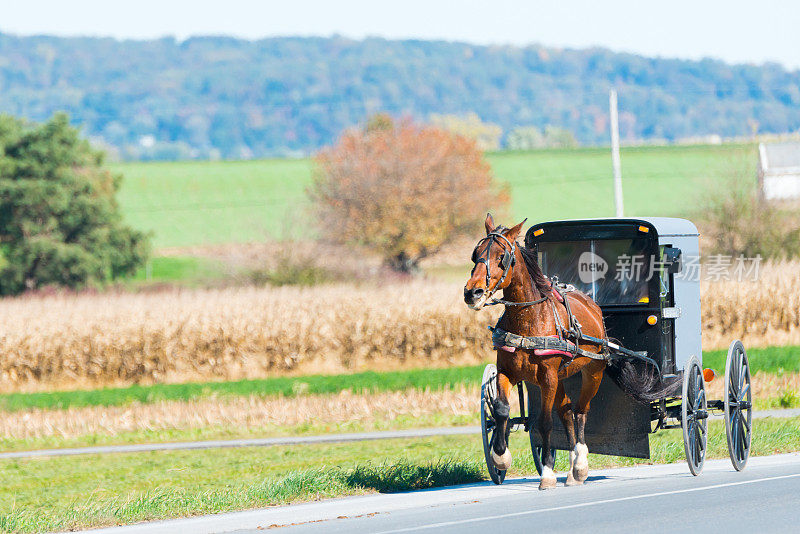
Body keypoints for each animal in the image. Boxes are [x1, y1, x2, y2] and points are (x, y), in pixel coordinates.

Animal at [462, 216, 664, 492]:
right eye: (475, 254)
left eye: (502, 257)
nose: (472, 292)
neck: (528, 320)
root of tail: (593, 306)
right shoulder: (507, 372)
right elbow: (502, 410)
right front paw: (500, 456)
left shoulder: (547, 377)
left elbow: (545, 422)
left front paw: (547, 473)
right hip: (559, 377)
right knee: (567, 411)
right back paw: (571, 468)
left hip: (592, 373)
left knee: (580, 411)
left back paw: (579, 466)